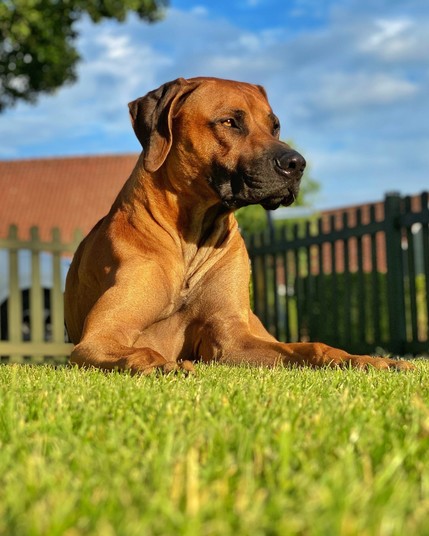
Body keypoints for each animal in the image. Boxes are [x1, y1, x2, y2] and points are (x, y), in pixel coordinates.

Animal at [63, 76, 412, 372]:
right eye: (230, 122)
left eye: (275, 126)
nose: (296, 164)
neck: (191, 241)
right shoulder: (100, 336)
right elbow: (135, 349)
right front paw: (162, 363)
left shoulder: (232, 338)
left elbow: (309, 346)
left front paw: (361, 358)